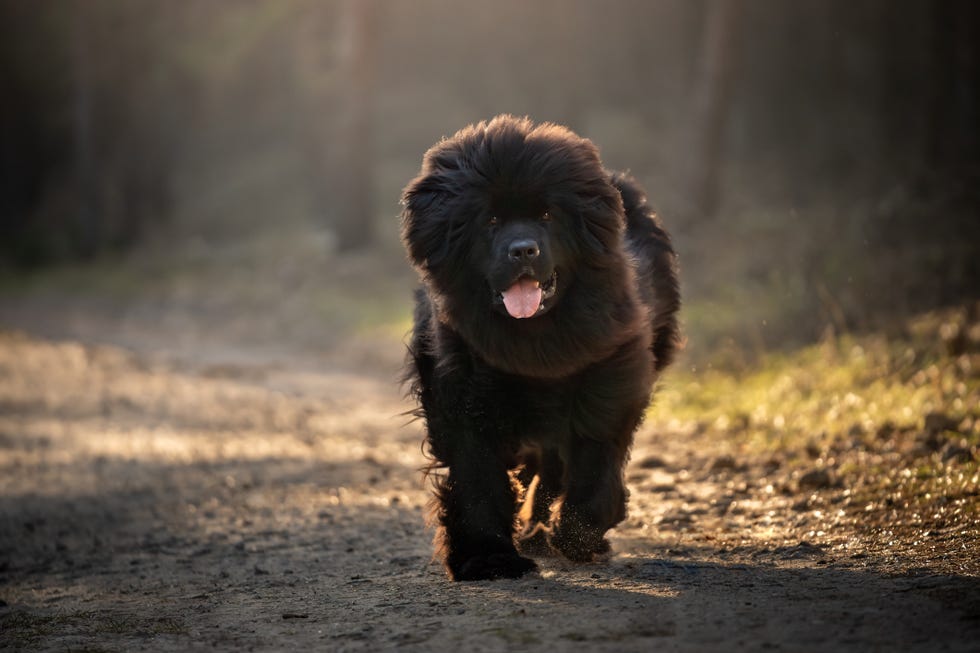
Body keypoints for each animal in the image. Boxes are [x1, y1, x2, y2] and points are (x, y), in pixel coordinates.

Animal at [402, 114, 676, 580]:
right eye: (491, 220)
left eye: (548, 215)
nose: (523, 250)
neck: (534, 339)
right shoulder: (463, 399)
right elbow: (477, 480)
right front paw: (488, 558)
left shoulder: (609, 381)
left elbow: (594, 462)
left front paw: (578, 534)